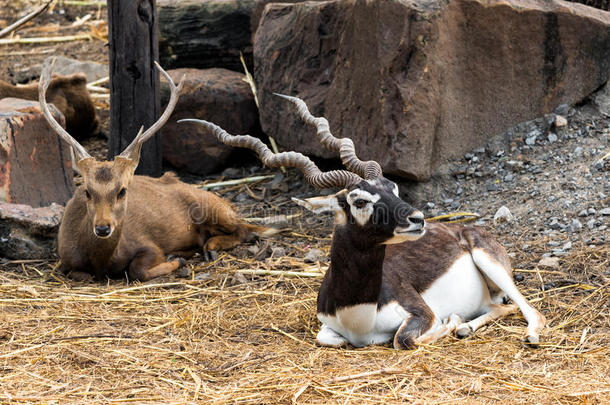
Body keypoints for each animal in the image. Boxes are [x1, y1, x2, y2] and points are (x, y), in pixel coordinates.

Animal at [41, 58, 270, 280]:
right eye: (87, 192)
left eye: (122, 191)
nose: (103, 227)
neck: (100, 261)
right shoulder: (65, 260)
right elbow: (82, 275)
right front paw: (177, 257)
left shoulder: (147, 243)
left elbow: (138, 270)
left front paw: (176, 261)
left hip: (215, 208)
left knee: (244, 229)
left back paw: (210, 246)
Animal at [178, 94, 544, 348]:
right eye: (360, 200)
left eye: (392, 187)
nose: (418, 219)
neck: (358, 310)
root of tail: (463, 228)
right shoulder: (329, 328)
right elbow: (327, 338)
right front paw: (455, 323)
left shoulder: (420, 312)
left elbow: (403, 338)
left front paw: (451, 321)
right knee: (497, 307)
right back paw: (467, 326)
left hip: (490, 263)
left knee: (527, 309)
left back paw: (519, 333)